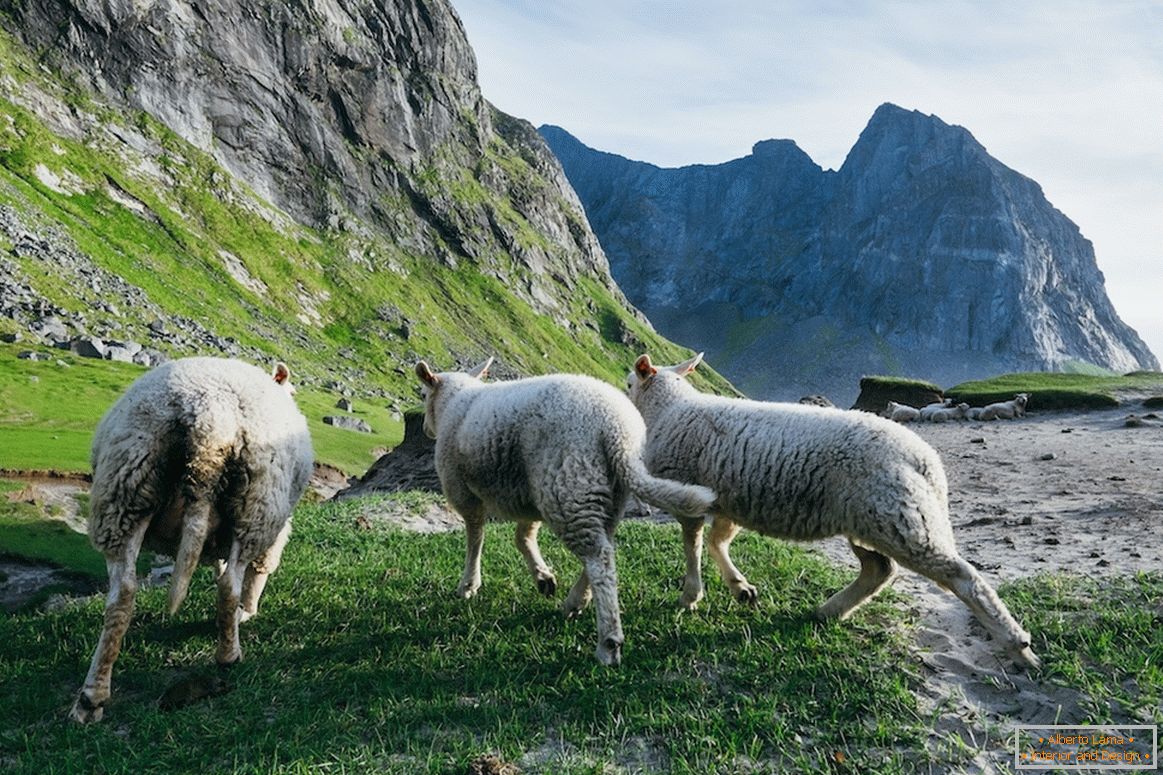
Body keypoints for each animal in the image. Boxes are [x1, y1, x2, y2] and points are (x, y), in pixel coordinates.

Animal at [69, 358, 314, 721]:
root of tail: (210, 419)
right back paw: (229, 653)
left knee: (122, 596)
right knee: (230, 585)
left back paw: (91, 698)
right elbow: (260, 569)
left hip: (127, 490)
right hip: (255, 505)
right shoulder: (277, 526)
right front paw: (248, 610)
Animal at [414, 356, 711, 665]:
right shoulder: (527, 495)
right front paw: (543, 577)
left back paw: (608, 641)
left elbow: (475, 538)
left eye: (422, 394)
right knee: (605, 547)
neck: (454, 402)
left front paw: (469, 584)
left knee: (598, 557)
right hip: (595, 492)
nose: (424, 429)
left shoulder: (463, 492)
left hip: (570, 484)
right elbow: (523, 537)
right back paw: (576, 601)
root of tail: (619, 431)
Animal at [628, 353, 1046, 665]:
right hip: (877, 519)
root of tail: (927, 463)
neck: (670, 409)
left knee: (962, 576)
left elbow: (694, 545)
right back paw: (828, 611)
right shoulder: (729, 501)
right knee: (879, 570)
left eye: (629, 381)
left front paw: (690, 595)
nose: (623, 389)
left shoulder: (687, 493)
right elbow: (718, 541)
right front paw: (740, 588)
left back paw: (1017, 645)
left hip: (899, 517)